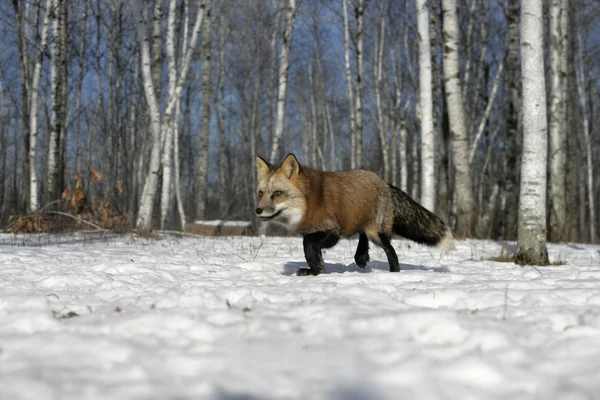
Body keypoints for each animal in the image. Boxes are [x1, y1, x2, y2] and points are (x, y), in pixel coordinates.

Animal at [254, 153, 454, 276]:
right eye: (261, 193)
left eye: (277, 193)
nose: (258, 210)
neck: (309, 202)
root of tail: (384, 182)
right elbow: (311, 249)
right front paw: (316, 270)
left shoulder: (332, 230)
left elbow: (308, 245)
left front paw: (316, 270)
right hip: (364, 223)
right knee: (363, 235)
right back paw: (362, 257)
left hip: (377, 233)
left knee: (391, 251)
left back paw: (393, 272)